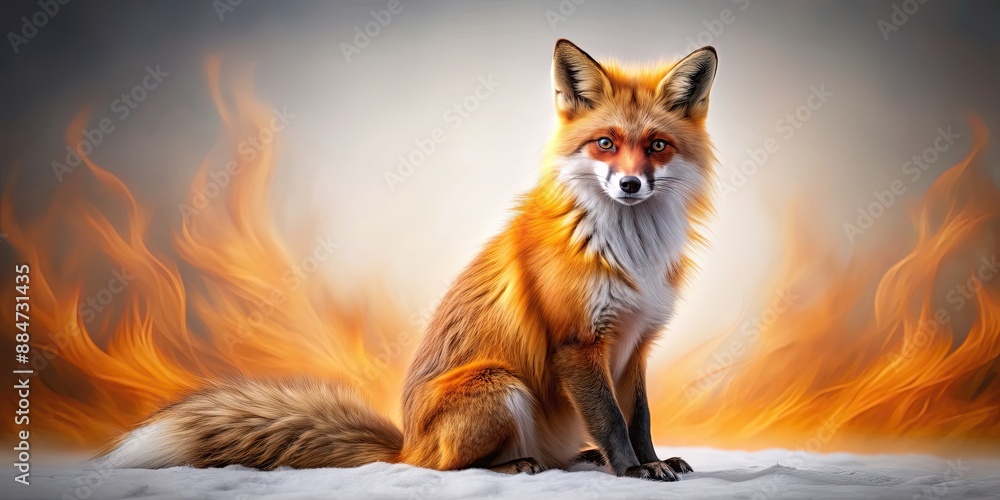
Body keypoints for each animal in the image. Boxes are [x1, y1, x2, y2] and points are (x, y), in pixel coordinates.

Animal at [100, 39, 719, 482]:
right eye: (606, 144)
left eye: (657, 146)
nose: (631, 185)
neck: (630, 251)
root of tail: (402, 445)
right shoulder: (578, 342)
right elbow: (613, 420)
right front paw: (633, 471)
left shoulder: (636, 343)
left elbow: (638, 418)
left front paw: (652, 460)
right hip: (501, 385)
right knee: (450, 468)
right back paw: (516, 464)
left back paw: (575, 458)